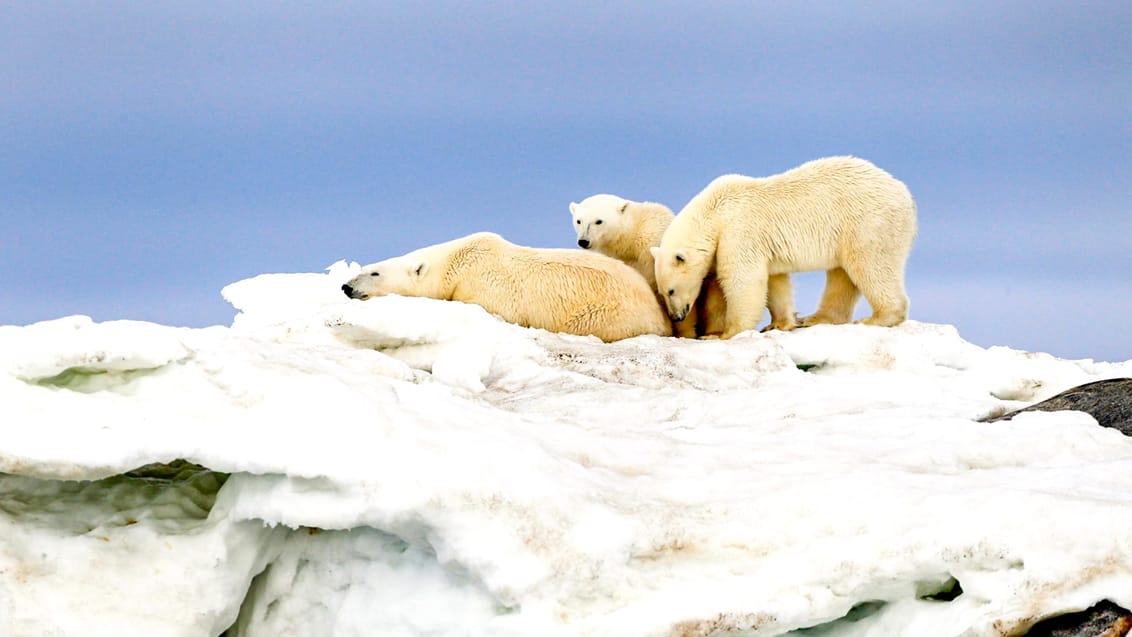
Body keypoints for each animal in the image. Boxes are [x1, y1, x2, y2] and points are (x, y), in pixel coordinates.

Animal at [341, 233, 670, 343]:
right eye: (364, 268)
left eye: (374, 272)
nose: (345, 286)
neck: (456, 263)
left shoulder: (486, 285)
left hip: (607, 314)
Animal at [566, 194, 796, 337]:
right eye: (578, 220)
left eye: (598, 221)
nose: (583, 241)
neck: (631, 238)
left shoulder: (655, 249)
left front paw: (683, 331)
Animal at [652, 156, 914, 339]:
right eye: (662, 292)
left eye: (671, 291)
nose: (676, 316)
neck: (715, 210)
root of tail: (905, 194)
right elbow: (774, 280)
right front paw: (778, 323)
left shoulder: (739, 230)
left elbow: (742, 278)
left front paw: (722, 334)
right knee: (842, 275)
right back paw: (815, 318)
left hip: (867, 223)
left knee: (870, 266)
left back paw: (876, 318)